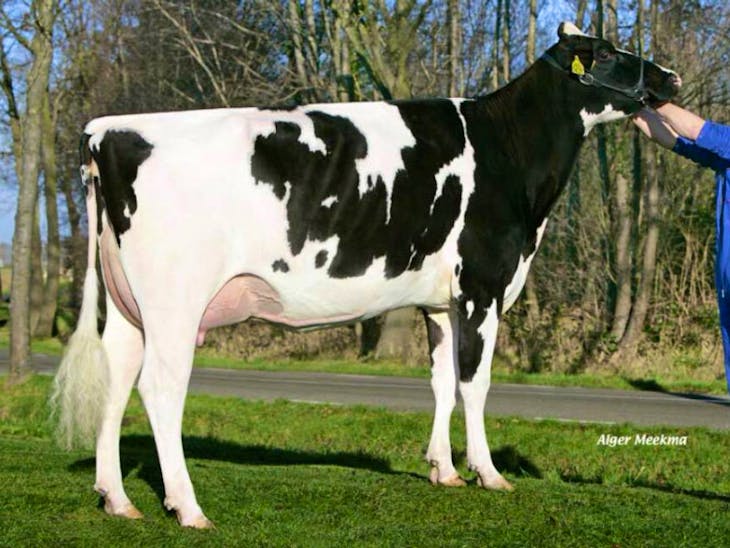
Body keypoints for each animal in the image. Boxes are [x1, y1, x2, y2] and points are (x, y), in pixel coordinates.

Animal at [52, 22, 680, 528]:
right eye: (607, 52)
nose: (671, 77)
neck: (510, 151)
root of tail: (107, 129)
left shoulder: (439, 301)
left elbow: (441, 382)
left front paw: (443, 469)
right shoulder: (481, 288)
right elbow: (474, 384)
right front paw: (488, 473)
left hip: (130, 304)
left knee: (117, 376)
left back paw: (117, 499)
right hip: (175, 302)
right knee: (160, 388)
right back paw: (187, 507)